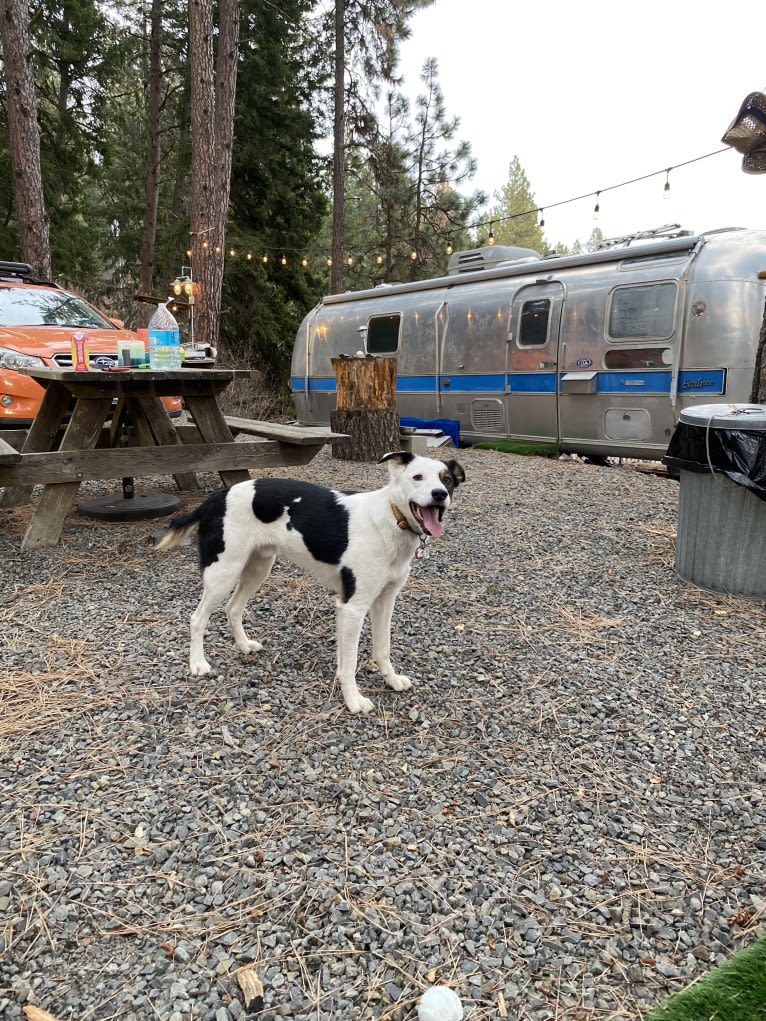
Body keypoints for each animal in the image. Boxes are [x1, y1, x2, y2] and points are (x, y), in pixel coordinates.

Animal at [157, 451, 461, 714]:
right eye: (417, 477)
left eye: (446, 479)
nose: (440, 494)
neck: (390, 518)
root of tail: (217, 497)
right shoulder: (351, 608)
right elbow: (348, 663)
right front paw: (353, 700)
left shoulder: (385, 601)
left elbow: (383, 648)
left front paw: (392, 680)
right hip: (224, 572)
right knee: (197, 619)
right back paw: (198, 663)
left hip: (258, 568)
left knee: (233, 609)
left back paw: (243, 646)